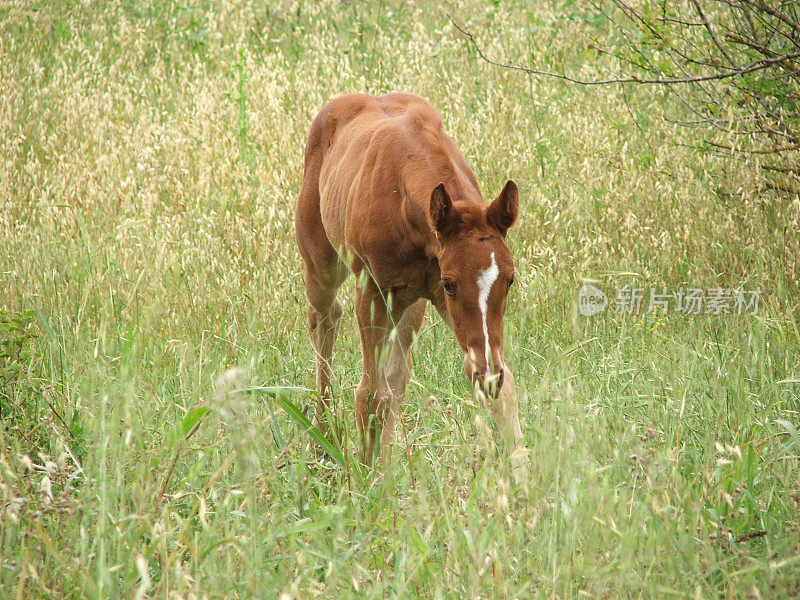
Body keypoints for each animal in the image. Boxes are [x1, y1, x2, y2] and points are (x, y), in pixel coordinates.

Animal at [294, 91, 524, 472]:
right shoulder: (373, 292)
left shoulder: (439, 303)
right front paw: (366, 480)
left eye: (509, 280)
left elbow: (499, 388)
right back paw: (320, 440)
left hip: (410, 304)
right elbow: (369, 394)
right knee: (323, 317)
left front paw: (524, 475)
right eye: (451, 283)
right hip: (322, 263)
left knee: (397, 378)